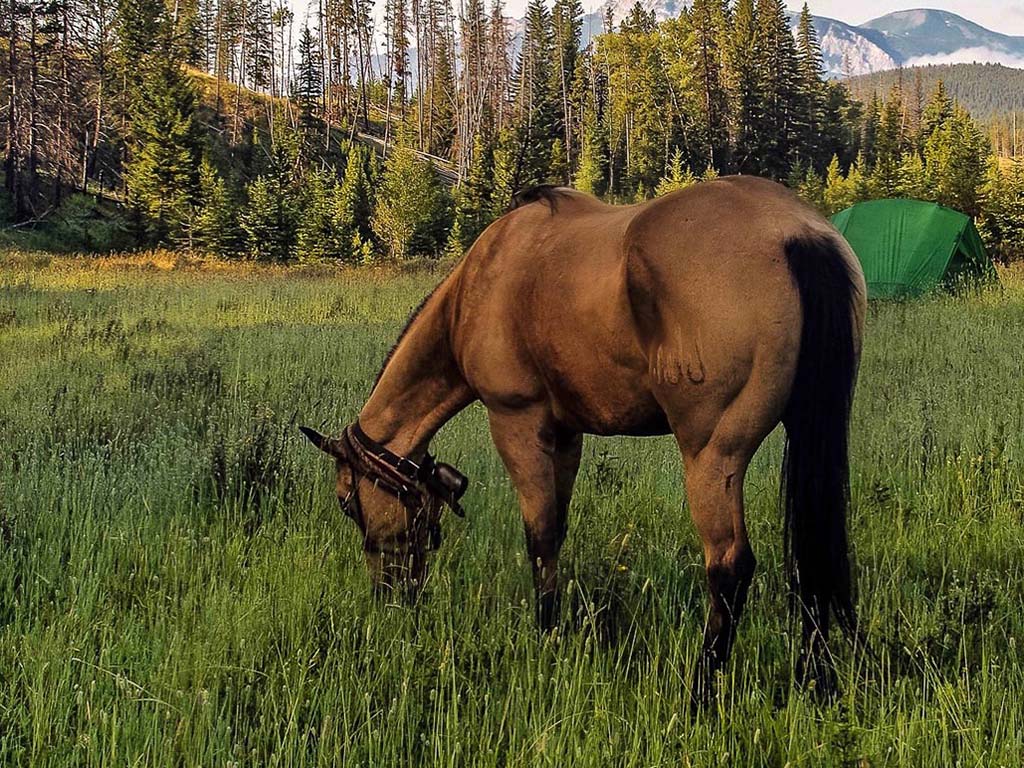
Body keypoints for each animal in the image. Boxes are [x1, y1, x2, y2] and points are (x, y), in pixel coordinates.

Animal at [299, 176, 868, 704]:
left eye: (347, 501)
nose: (390, 595)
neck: (476, 288)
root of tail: (794, 232)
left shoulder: (518, 423)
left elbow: (539, 535)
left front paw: (546, 633)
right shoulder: (567, 435)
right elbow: (558, 531)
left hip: (711, 456)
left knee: (731, 566)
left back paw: (702, 689)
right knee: (813, 557)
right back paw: (817, 680)